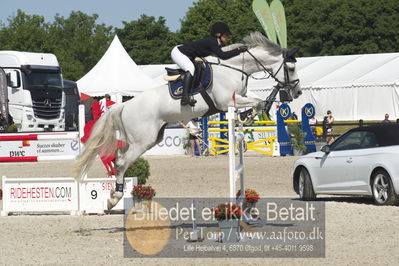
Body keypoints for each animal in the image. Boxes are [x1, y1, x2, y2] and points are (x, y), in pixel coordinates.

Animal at [75, 32, 302, 209]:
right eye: (291, 69)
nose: (298, 92)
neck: (235, 68)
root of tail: (124, 105)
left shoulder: (234, 100)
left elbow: (256, 103)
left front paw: (246, 117)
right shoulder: (226, 101)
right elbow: (258, 102)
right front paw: (248, 116)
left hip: (149, 138)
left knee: (118, 156)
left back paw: (114, 193)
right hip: (142, 140)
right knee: (122, 162)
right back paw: (114, 198)